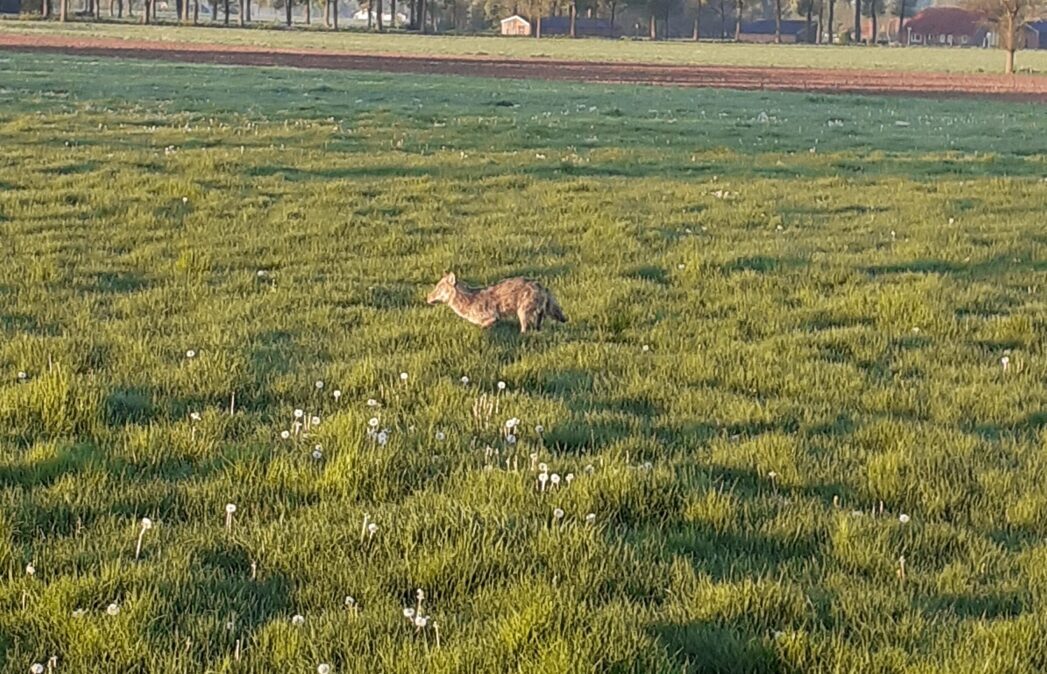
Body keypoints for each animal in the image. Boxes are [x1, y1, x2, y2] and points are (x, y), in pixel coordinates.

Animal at [426, 273, 568, 334]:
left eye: (438, 289)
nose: (427, 297)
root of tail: (542, 286)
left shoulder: (493, 317)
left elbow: (483, 327)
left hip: (522, 312)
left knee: (525, 328)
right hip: (538, 314)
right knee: (538, 327)